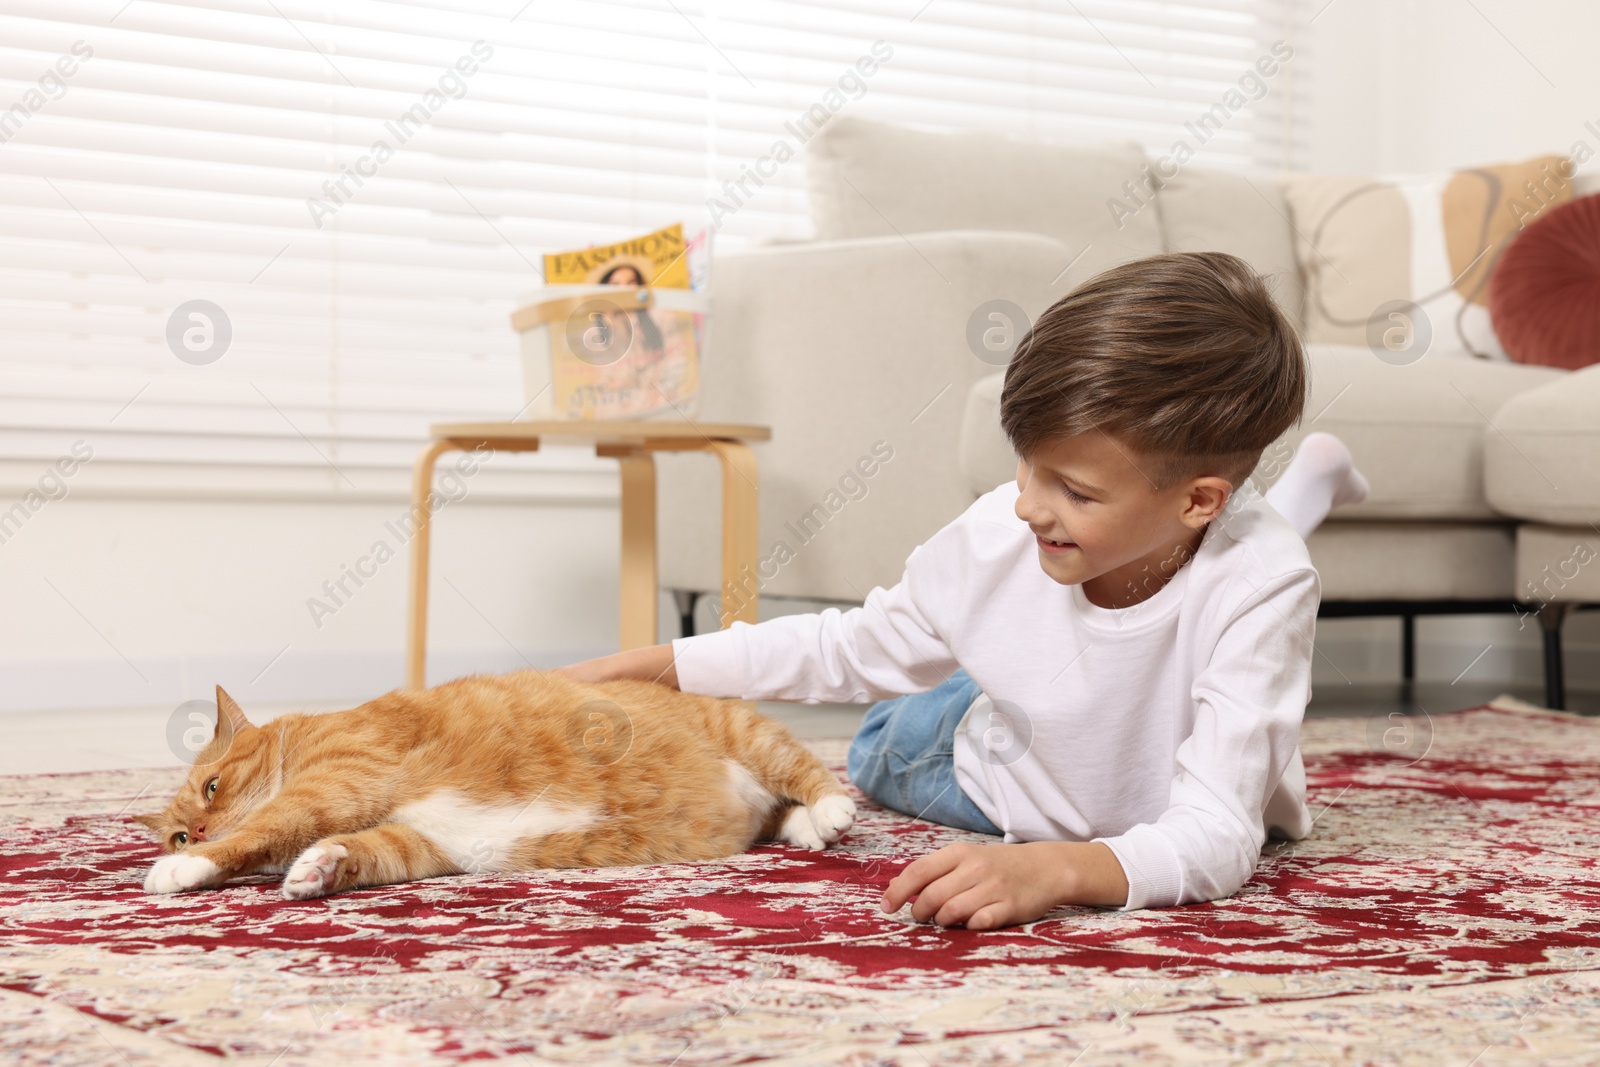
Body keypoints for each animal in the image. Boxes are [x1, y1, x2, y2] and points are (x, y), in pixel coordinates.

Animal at [132, 671, 857, 895]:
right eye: (175, 830)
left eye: (213, 787)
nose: (195, 830)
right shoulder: (419, 843)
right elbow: (360, 851)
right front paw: (319, 868)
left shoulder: (341, 777)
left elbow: (268, 823)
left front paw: (187, 868)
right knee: (778, 813)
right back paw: (805, 829)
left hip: (744, 732)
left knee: (806, 771)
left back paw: (832, 810)